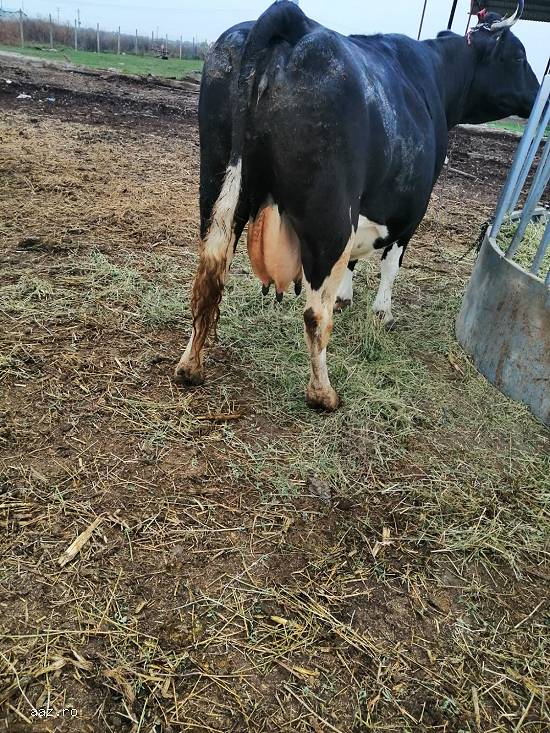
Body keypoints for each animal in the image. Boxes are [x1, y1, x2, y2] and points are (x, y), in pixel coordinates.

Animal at [175, 0, 539, 411]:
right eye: (518, 55)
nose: (538, 93)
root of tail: (291, 18)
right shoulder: (411, 210)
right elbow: (390, 264)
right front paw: (382, 313)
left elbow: (352, 262)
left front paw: (347, 297)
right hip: (330, 216)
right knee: (314, 312)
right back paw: (323, 393)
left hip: (217, 185)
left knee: (208, 277)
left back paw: (190, 366)